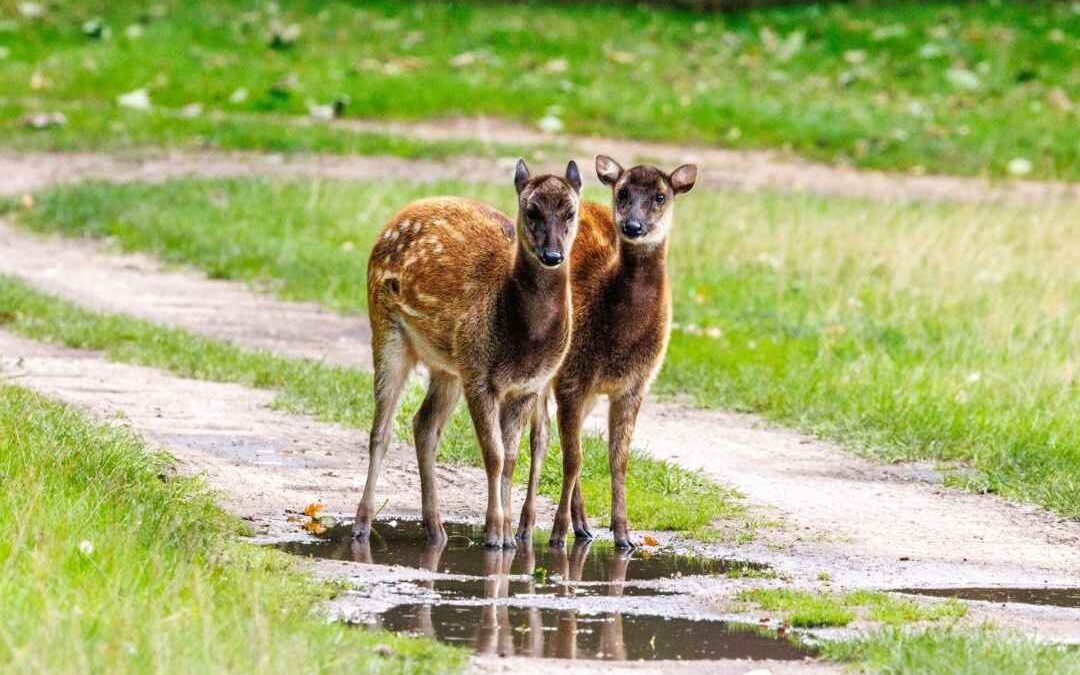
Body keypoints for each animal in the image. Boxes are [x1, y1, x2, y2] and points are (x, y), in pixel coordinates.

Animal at [354, 159, 583, 549]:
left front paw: (508, 534)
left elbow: (511, 457)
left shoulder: (527, 386)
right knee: (381, 430)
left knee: (424, 424)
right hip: (386, 329)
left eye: (570, 212)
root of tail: (394, 218)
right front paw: (495, 532)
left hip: (447, 364)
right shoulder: (479, 374)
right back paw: (362, 525)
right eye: (531, 210)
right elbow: (493, 455)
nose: (553, 256)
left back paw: (436, 528)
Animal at [516, 155, 698, 549]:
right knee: (542, 439)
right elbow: (573, 458)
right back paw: (527, 527)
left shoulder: (635, 385)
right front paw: (557, 533)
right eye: (623, 191)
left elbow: (618, 460)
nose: (633, 226)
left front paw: (624, 535)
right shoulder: (572, 376)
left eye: (661, 196)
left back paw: (583, 526)